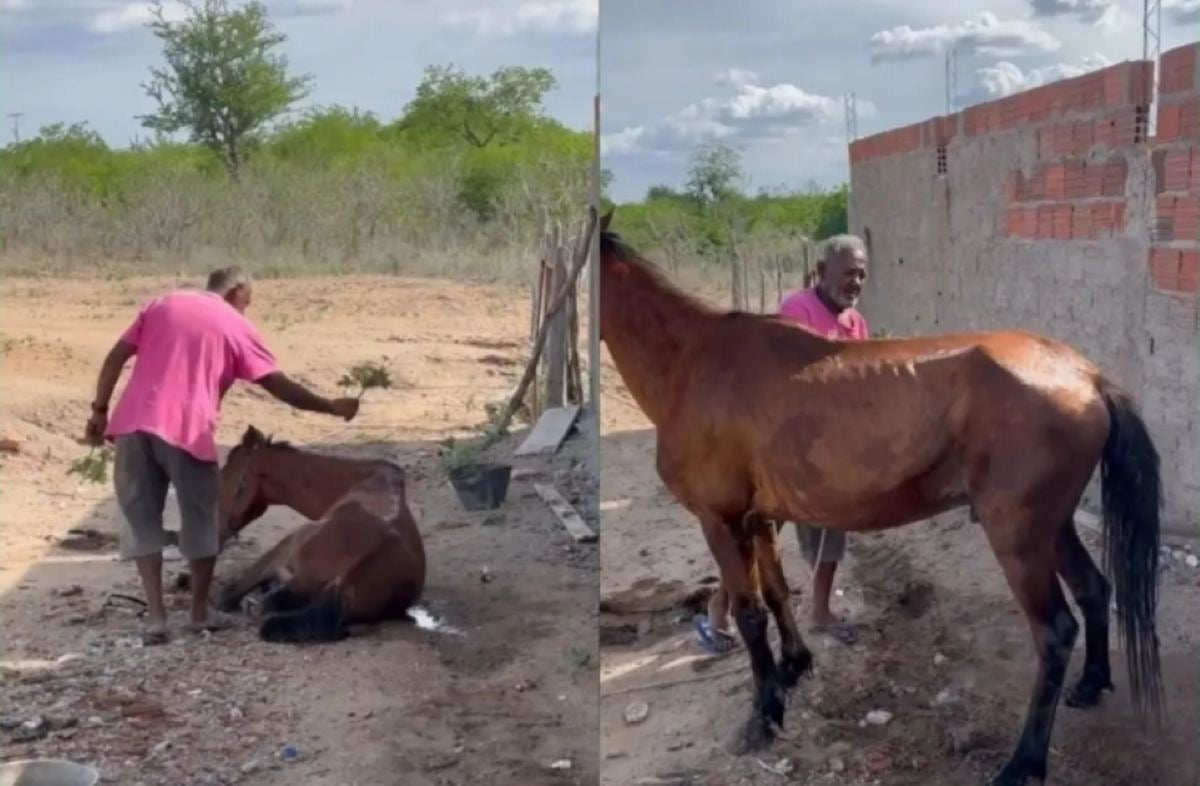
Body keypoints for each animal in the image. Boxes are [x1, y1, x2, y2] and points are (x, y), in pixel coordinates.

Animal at [597, 211, 1162, 786]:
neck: (691, 360)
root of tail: (1085, 375)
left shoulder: (721, 519)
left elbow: (750, 614)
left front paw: (764, 715)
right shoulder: (757, 517)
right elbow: (776, 593)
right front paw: (793, 668)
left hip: (1018, 536)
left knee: (1055, 633)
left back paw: (1022, 763)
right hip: (1054, 526)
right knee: (1094, 588)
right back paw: (1090, 685)